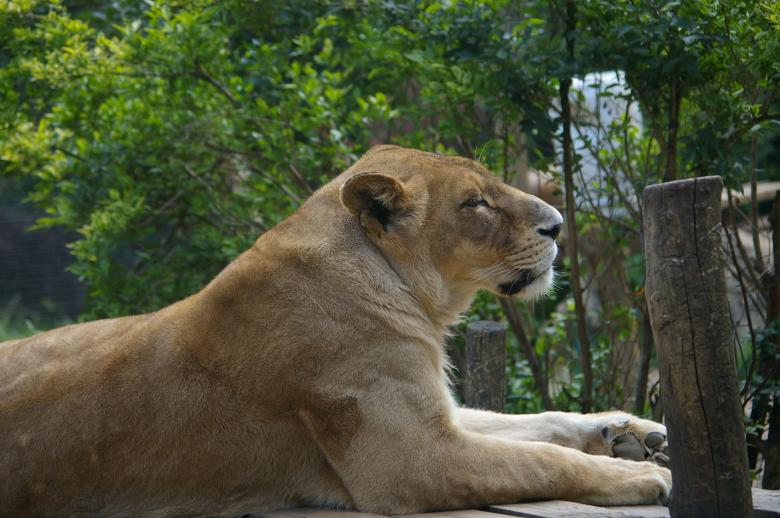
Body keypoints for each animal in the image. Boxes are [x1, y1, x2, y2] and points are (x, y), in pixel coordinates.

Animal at [0, 145, 670, 516]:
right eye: (474, 203)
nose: (557, 224)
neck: (413, 297)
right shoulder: (413, 458)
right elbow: (542, 462)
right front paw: (642, 476)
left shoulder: (438, 417)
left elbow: (540, 425)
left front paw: (631, 433)